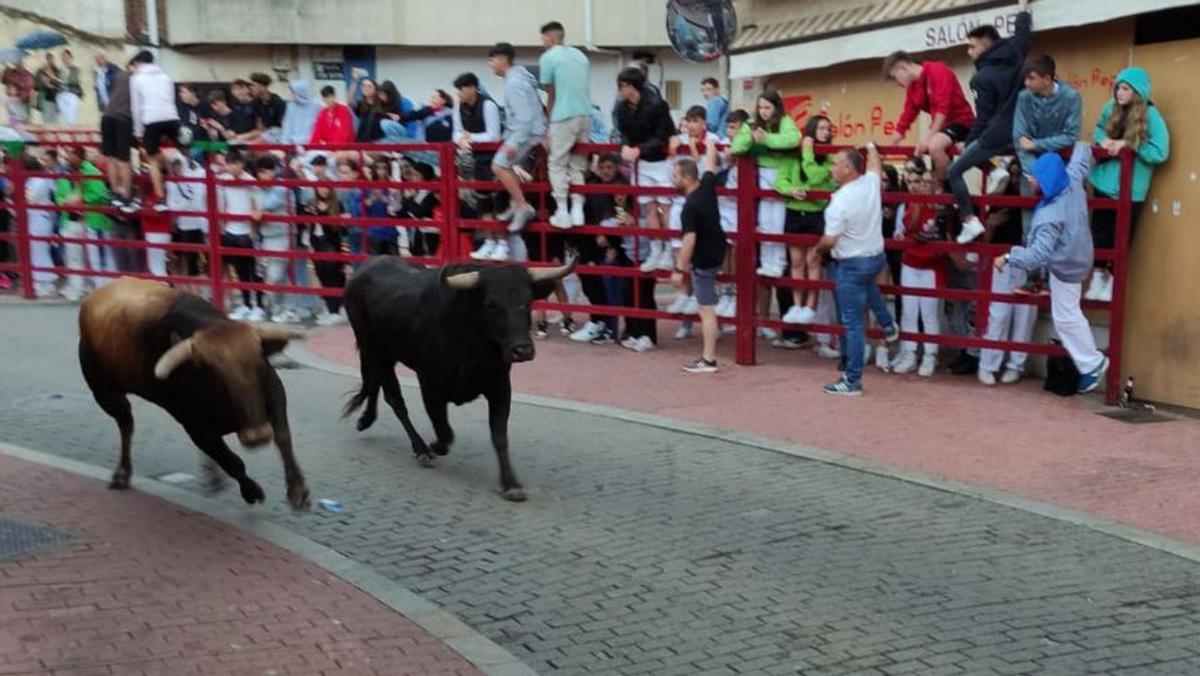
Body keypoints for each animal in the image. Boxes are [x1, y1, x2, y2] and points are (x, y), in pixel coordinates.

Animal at [78, 278, 309, 509]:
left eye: (259, 365)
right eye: (213, 374)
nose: (257, 436)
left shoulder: (274, 393)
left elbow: (283, 438)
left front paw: (298, 490)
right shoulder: (196, 428)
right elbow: (233, 461)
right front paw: (251, 491)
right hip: (105, 394)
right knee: (126, 425)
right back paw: (122, 474)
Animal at [343, 259, 576, 501]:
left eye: (528, 301)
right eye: (490, 304)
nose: (522, 350)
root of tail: (367, 267)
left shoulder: (500, 386)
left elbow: (499, 437)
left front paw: (510, 483)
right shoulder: (430, 384)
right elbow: (445, 432)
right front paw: (434, 446)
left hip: (383, 354)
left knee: (374, 383)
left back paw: (366, 419)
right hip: (373, 349)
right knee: (394, 398)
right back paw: (420, 449)